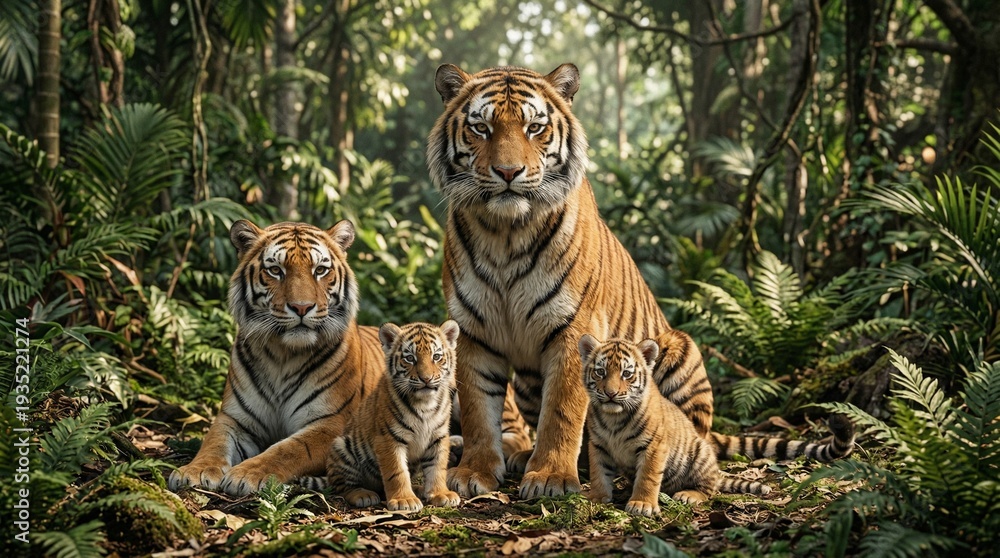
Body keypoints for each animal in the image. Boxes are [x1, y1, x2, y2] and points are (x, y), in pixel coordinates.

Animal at [168, 219, 385, 497]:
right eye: (275, 270)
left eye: (320, 270)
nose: (302, 307)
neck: (284, 355)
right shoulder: (235, 418)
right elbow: (213, 442)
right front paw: (195, 470)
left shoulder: (332, 424)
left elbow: (288, 450)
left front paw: (246, 474)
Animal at [301, 321, 462, 512]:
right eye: (410, 358)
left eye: (436, 357)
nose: (426, 379)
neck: (425, 403)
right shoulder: (389, 438)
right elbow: (397, 471)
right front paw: (404, 500)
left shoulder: (438, 437)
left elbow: (437, 468)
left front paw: (440, 494)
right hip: (342, 447)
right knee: (343, 487)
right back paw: (363, 495)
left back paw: (418, 489)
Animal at [427, 63, 714, 499]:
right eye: (481, 128)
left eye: (534, 128)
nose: (508, 172)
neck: (504, 234)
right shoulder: (475, 331)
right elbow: (479, 409)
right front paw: (476, 471)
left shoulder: (574, 325)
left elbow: (562, 410)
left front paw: (549, 477)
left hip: (679, 352)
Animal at [580, 335, 855, 516]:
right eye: (600, 372)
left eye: (626, 374)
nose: (611, 394)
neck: (614, 417)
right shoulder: (598, 445)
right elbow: (599, 473)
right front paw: (597, 497)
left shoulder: (654, 446)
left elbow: (647, 476)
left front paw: (642, 504)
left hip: (699, 454)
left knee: (709, 488)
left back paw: (688, 495)